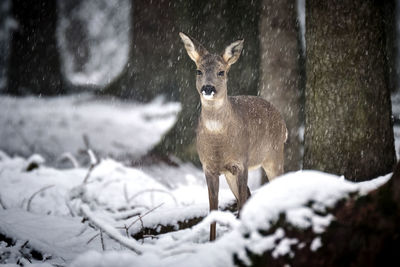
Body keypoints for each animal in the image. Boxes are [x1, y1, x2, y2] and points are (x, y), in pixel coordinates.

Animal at [179, 32, 288, 242]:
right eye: (198, 71)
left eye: (221, 72)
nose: (208, 88)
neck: (218, 142)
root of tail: (284, 124)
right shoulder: (208, 167)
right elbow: (213, 208)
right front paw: (212, 241)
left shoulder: (241, 162)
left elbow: (242, 203)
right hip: (232, 172)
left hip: (274, 155)